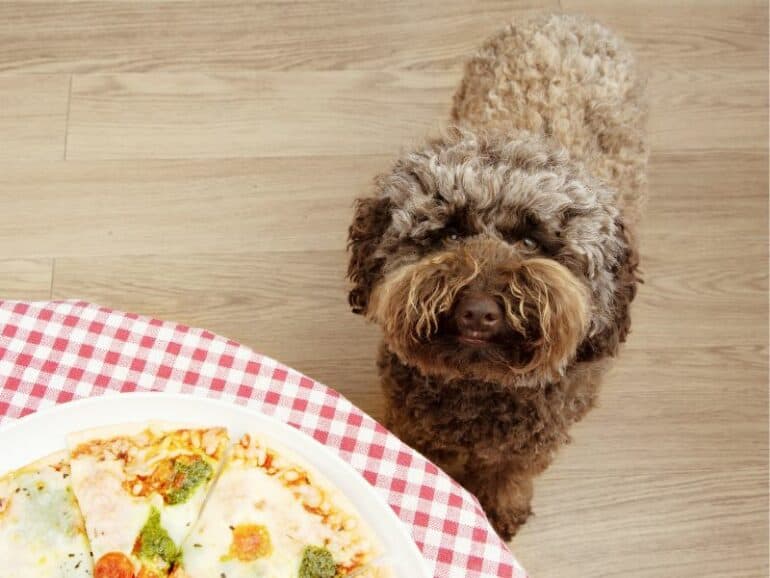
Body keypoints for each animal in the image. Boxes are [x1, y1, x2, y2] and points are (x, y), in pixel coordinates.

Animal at [346, 13, 640, 536]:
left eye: (531, 241)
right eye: (449, 233)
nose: (478, 312)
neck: (479, 388)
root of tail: (564, 17)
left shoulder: (534, 441)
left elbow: (511, 473)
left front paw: (501, 512)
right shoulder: (415, 425)